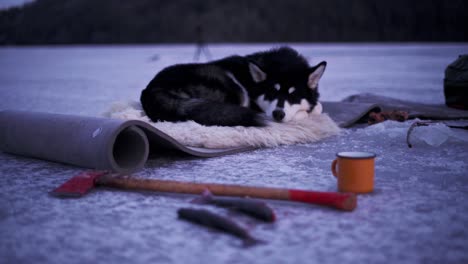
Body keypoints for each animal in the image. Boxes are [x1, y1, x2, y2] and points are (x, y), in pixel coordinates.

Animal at [141, 47, 328, 127]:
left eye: (293, 95)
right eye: (271, 93)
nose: (278, 114)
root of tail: (151, 88)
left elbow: (318, 105)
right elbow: (310, 111)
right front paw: (305, 113)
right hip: (232, 87)